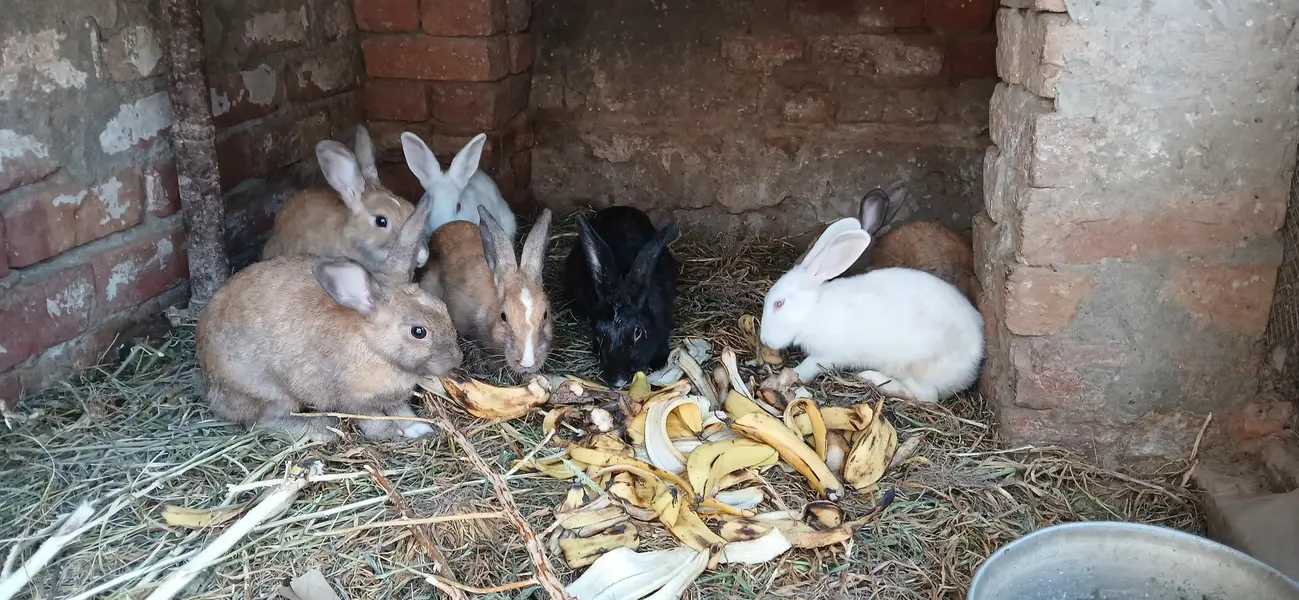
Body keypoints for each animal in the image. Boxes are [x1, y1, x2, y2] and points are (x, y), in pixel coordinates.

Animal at [196, 183, 462, 443]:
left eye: (443, 307)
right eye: (418, 332)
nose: (456, 361)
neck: (375, 347)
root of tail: (208, 377)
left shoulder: (393, 399)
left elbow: (402, 411)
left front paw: (418, 428)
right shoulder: (353, 400)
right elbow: (374, 420)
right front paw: (390, 434)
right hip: (269, 392)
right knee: (263, 422)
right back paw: (321, 429)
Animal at [760, 217, 984, 403]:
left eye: (779, 304)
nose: (764, 340)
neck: (814, 310)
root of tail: (975, 362)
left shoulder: (831, 355)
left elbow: (810, 364)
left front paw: (795, 374)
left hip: (914, 366)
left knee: (926, 396)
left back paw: (873, 379)